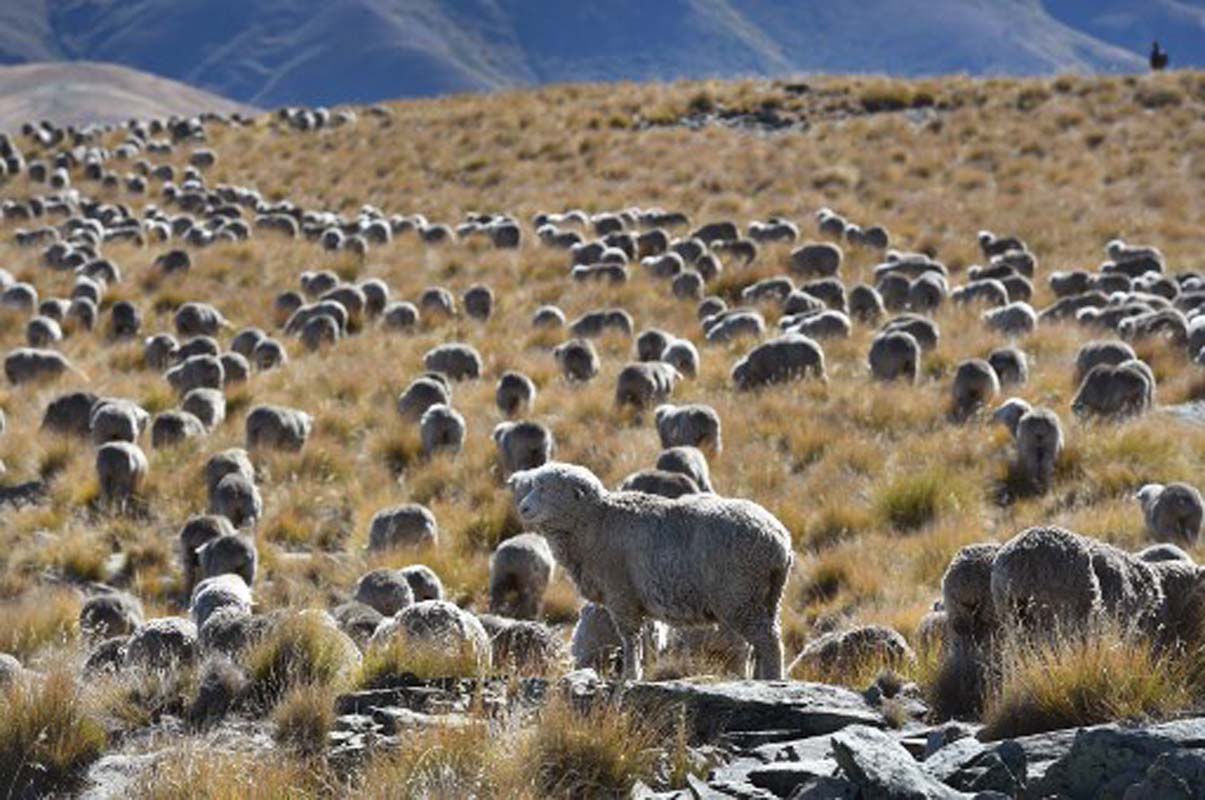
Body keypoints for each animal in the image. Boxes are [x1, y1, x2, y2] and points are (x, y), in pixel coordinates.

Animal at [508, 462, 792, 679]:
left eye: (549, 489)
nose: (523, 508)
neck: (595, 523)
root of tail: (779, 540)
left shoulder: (620, 595)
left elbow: (629, 638)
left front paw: (629, 675)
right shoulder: (636, 602)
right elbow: (643, 640)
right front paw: (640, 673)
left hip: (740, 593)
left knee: (768, 639)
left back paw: (771, 680)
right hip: (768, 596)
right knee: (765, 638)